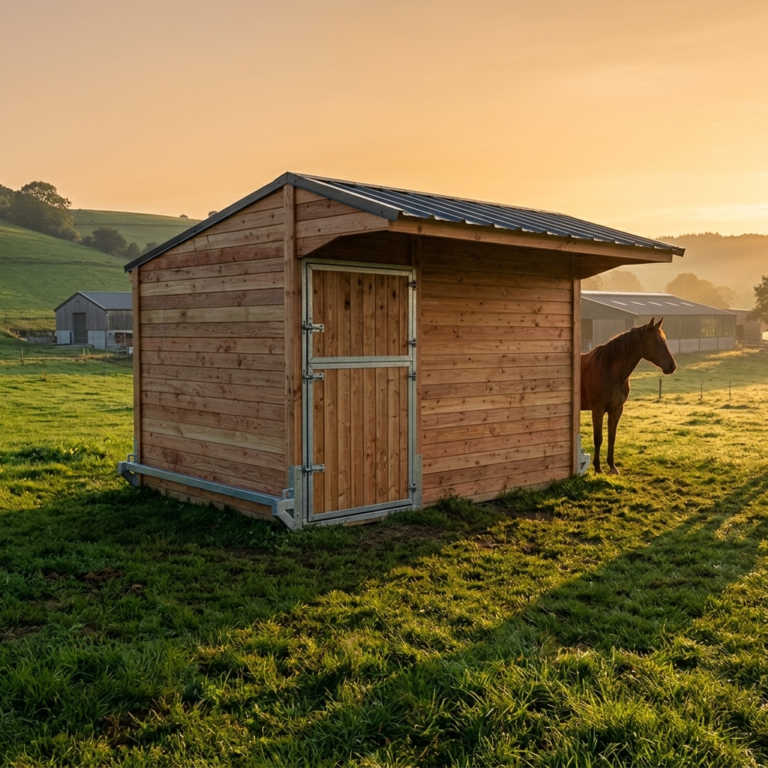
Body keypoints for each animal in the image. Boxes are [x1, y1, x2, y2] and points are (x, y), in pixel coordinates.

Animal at [581, 318, 676, 474]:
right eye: (655, 341)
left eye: (664, 340)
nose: (672, 366)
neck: (609, 369)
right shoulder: (598, 410)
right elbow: (598, 438)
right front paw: (598, 468)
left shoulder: (616, 409)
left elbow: (611, 437)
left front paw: (612, 467)